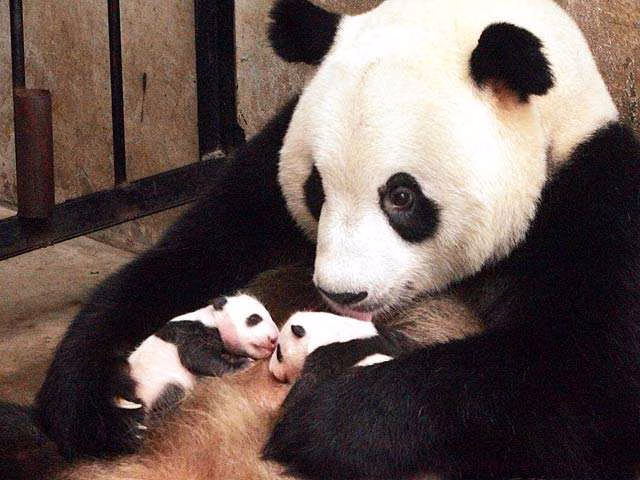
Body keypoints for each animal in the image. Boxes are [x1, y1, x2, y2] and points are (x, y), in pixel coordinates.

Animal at [123, 294, 278, 418]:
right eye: (254, 318)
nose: (274, 339)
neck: (213, 318)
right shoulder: (190, 331)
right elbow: (195, 356)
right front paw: (242, 364)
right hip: (156, 384)